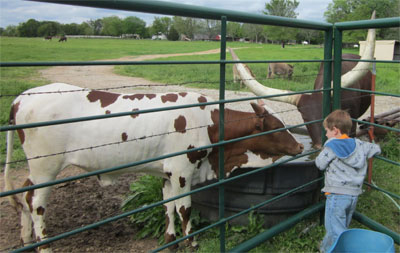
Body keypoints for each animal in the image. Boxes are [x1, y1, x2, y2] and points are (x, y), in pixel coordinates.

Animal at [3, 82, 304, 251]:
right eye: (277, 127)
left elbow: (168, 206)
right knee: (36, 203)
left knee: (24, 194)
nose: (300, 147)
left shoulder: (167, 173)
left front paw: (171, 239)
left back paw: (26, 238)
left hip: (37, 171)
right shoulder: (182, 171)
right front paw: (191, 241)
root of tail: (20, 98)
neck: (208, 122)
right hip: (46, 168)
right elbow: (184, 208)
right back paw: (43, 246)